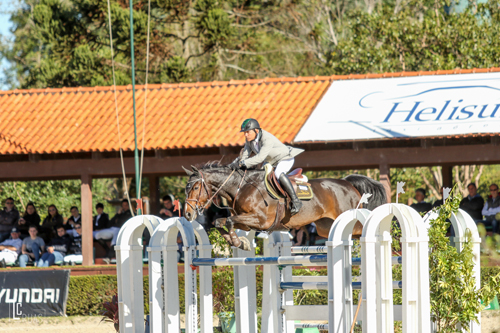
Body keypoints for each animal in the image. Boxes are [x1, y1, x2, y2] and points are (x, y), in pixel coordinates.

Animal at [184, 162, 386, 250]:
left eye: (195, 187)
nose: (187, 214)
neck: (241, 187)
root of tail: (348, 183)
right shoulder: (247, 222)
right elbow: (221, 222)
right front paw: (237, 242)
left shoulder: (261, 220)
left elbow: (228, 221)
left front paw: (238, 242)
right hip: (324, 226)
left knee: (363, 229)